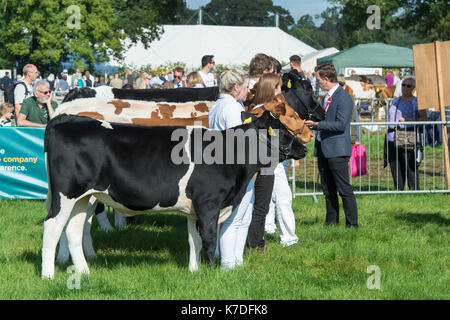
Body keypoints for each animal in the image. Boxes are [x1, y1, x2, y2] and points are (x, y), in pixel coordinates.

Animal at [42, 111, 308, 278]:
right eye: (283, 131)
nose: (304, 148)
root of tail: (66, 118)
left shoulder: (194, 208)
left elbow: (194, 240)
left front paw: (194, 271)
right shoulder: (209, 203)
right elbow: (209, 239)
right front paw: (211, 271)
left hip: (83, 198)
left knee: (73, 230)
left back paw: (84, 272)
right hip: (66, 195)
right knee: (52, 227)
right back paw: (48, 275)